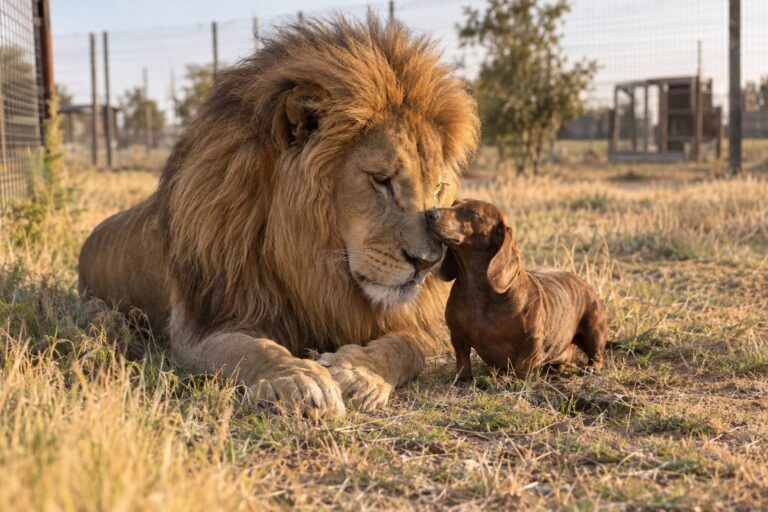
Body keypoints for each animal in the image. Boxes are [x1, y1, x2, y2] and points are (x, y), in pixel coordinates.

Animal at [78, 14, 479, 417]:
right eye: (381, 180)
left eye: (438, 188)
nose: (426, 263)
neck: (309, 263)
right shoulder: (201, 325)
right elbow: (253, 349)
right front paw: (298, 379)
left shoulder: (397, 320)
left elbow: (408, 348)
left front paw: (358, 373)